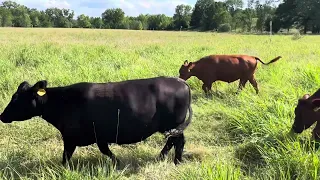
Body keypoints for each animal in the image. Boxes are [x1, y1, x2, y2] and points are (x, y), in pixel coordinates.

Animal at [0, 76, 192, 166]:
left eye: (17, 99)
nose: (2, 116)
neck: (63, 101)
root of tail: (181, 81)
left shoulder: (70, 138)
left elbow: (66, 157)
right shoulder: (97, 137)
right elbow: (105, 151)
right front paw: (117, 162)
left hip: (174, 125)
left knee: (178, 141)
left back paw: (177, 162)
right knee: (172, 141)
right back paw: (163, 157)